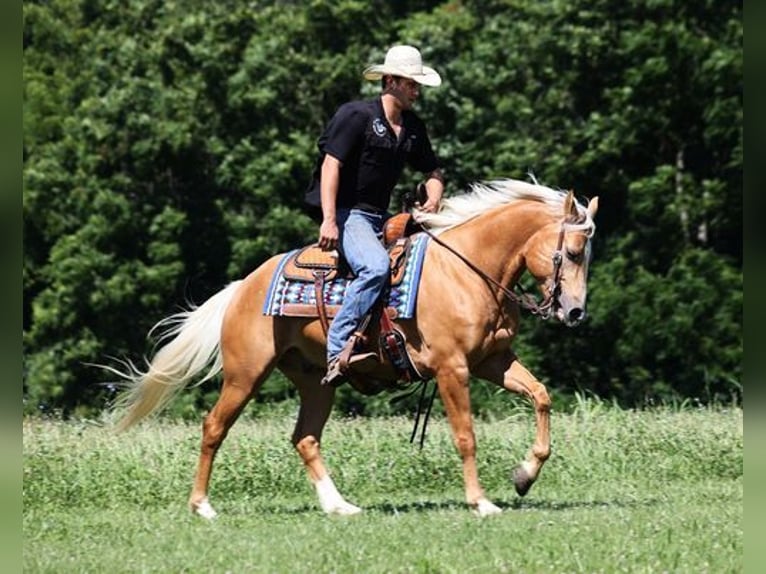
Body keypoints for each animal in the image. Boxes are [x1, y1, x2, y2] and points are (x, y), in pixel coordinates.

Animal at [111, 178, 600, 520]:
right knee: (215, 427)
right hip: (246, 373)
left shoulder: (492, 362)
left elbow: (540, 396)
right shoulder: (452, 369)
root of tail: (242, 287)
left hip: (316, 381)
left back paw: (339, 505)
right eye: (574, 252)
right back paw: (202, 506)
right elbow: (466, 435)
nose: (576, 311)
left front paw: (524, 476)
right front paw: (481, 502)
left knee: (305, 437)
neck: (468, 270)